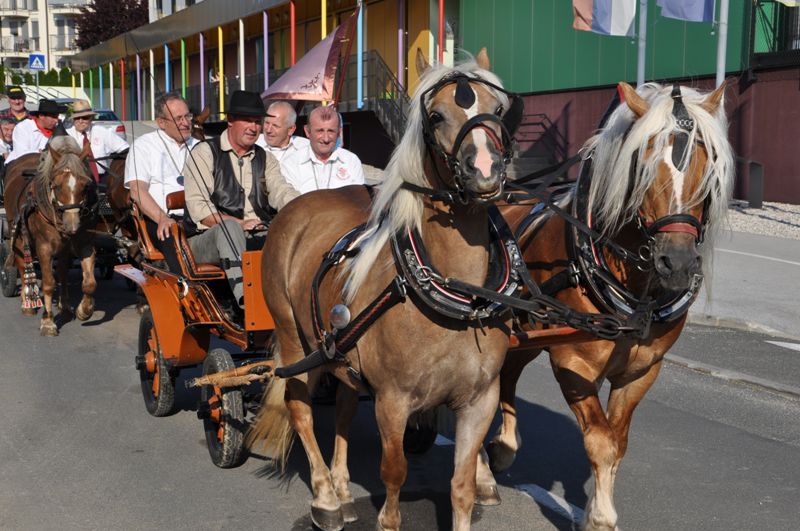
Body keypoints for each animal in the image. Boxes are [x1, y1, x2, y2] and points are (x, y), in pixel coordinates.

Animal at [2, 137, 99, 336]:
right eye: (56, 186)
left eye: (85, 185)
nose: (72, 226)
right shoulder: (44, 247)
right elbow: (48, 283)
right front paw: (48, 321)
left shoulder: (85, 244)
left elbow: (89, 283)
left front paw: (84, 310)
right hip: (18, 235)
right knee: (23, 266)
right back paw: (28, 300)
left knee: (62, 272)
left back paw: (65, 307)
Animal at [250, 50, 520, 531]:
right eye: (437, 115)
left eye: (499, 108)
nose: (486, 171)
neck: (454, 293)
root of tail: (296, 206)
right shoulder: (393, 401)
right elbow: (393, 473)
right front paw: (382, 514)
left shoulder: (480, 400)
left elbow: (462, 486)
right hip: (291, 336)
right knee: (300, 407)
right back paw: (325, 497)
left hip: (338, 349)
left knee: (342, 404)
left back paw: (340, 487)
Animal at [484, 81, 736, 528]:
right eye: (644, 166)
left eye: (708, 168)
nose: (678, 263)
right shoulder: (574, 363)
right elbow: (599, 441)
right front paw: (600, 517)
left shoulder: (641, 370)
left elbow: (617, 443)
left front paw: (596, 508)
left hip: (526, 330)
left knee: (508, 372)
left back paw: (505, 447)